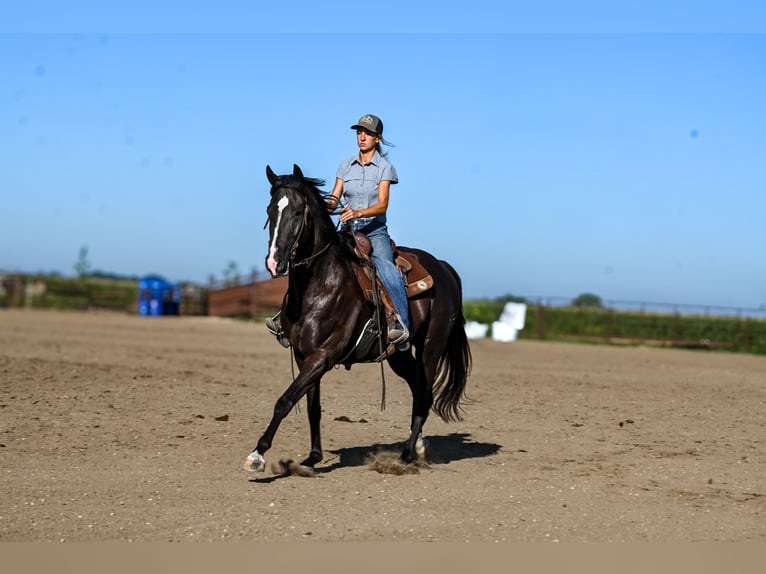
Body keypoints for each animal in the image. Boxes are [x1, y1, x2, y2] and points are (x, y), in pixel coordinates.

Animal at [243, 164, 471, 474]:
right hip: (398, 355)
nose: (274, 262)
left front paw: (257, 455)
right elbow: (312, 406)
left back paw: (405, 457)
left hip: (431, 348)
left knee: (425, 394)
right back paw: (419, 448)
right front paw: (312, 458)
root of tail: (444, 269)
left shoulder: (325, 355)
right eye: (270, 210)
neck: (320, 284)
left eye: (298, 211)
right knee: (418, 390)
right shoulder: (304, 355)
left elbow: (285, 400)